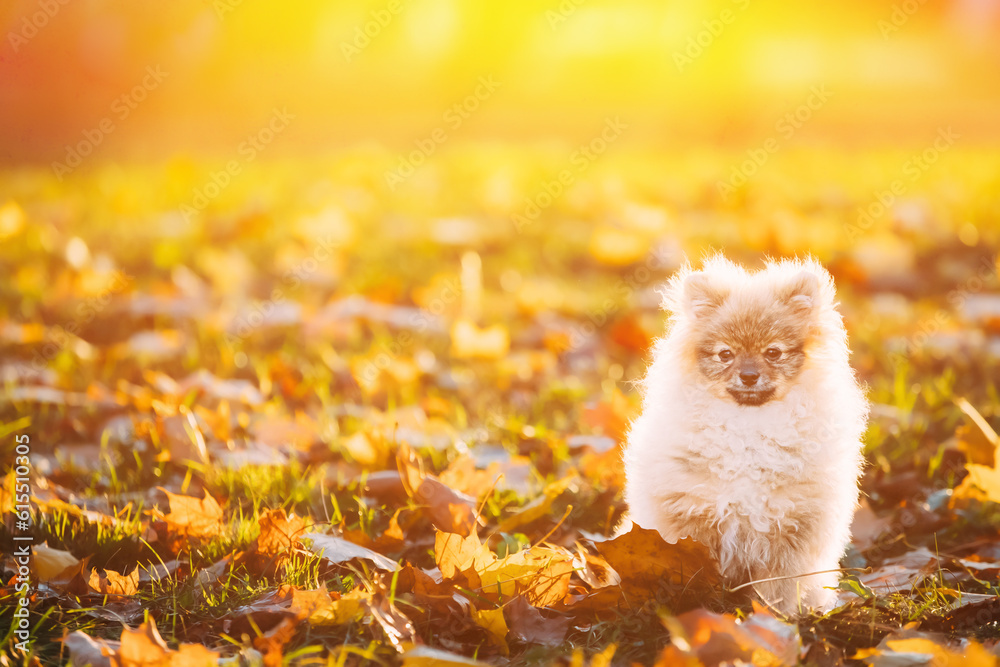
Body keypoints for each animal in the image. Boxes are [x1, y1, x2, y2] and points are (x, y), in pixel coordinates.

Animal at [624, 254, 868, 616]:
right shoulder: (691, 522)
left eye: (773, 353)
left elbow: (778, 588)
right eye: (726, 354)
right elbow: (694, 575)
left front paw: (773, 618)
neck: (748, 432)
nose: (749, 375)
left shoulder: (790, 534)